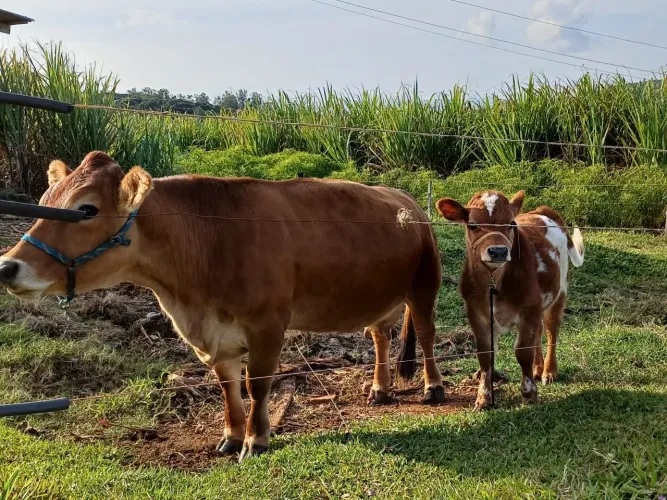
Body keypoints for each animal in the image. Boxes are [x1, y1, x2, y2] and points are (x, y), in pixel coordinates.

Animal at [0, 151, 445, 461]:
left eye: (86, 209)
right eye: (44, 198)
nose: (7, 266)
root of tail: (406, 199)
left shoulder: (268, 324)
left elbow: (257, 384)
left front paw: (256, 439)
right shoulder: (215, 334)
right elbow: (228, 385)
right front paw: (231, 436)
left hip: (425, 286)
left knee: (425, 335)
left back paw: (433, 387)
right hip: (383, 297)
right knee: (381, 336)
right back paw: (380, 389)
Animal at [436, 190, 584, 410]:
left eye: (510, 223)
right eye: (472, 224)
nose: (498, 251)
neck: (495, 282)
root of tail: (541, 210)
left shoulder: (527, 310)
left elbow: (522, 351)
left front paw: (529, 394)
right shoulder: (476, 315)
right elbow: (486, 355)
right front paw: (483, 398)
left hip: (560, 291)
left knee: (551, 330)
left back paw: (548, 371)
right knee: (539, 331)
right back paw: (538, 369)